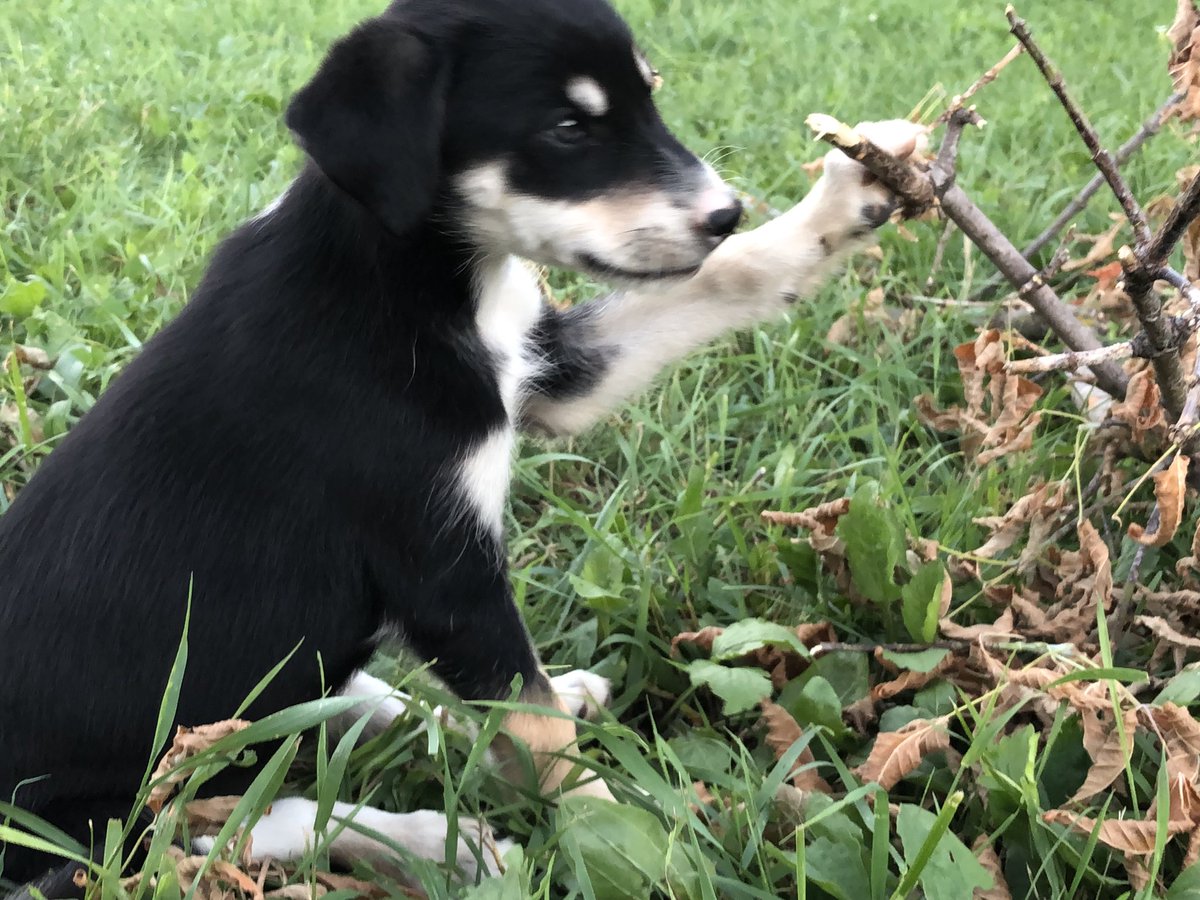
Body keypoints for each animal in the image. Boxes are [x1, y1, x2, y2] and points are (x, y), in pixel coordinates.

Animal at [0, 0, 921, 892]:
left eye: (649, 95)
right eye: (567, 129)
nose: (724, 213)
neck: (412, 276)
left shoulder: (549, 374)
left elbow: (728, 276)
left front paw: (847, 198)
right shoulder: (444, 572)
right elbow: (536, 731)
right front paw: (632, 842)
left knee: (369, 712)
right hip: (99, 823)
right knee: (251, 820)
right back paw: (443, 848)